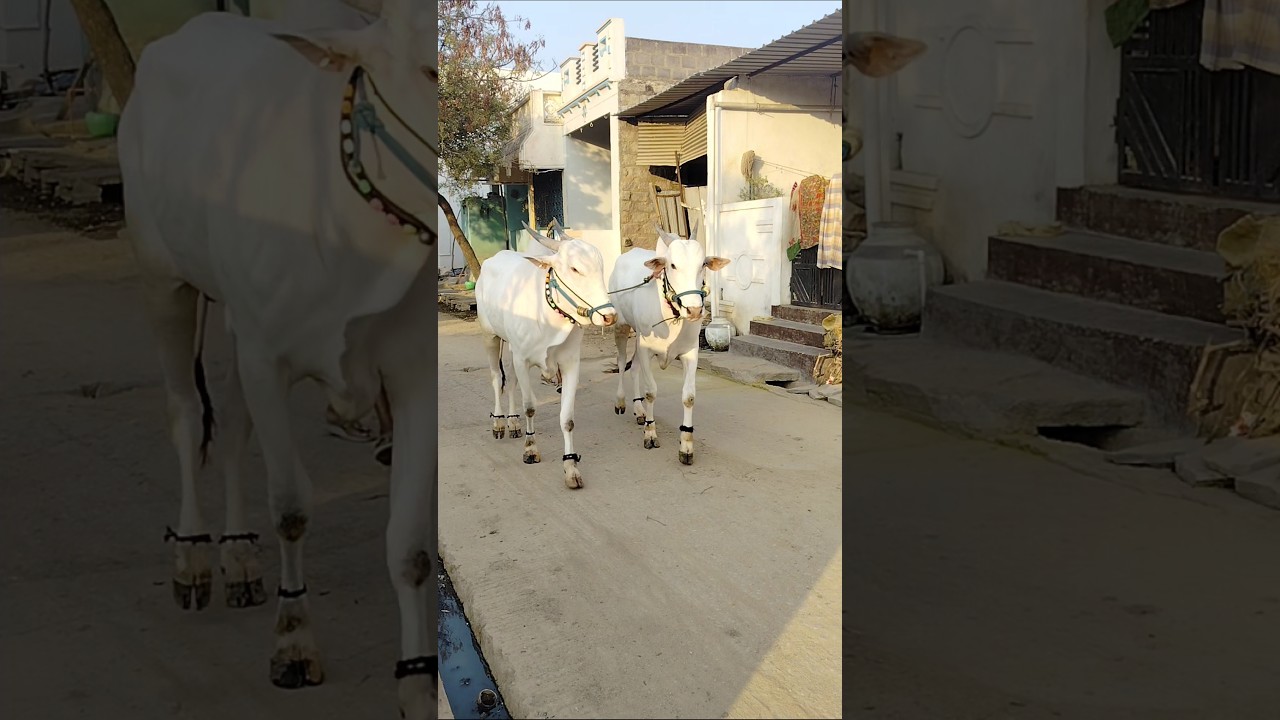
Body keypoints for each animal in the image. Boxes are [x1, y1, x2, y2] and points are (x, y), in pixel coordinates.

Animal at [116, 0, 438, 716]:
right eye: (428, 69)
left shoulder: (412, 378)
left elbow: (409, 547)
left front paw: (417, 679)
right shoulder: (268, 358)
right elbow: (290, 507)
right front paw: (293, 642)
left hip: (236, 319)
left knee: (234, 427)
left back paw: (238, 558)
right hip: (162, 281)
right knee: (187, 415)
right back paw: (194, 558)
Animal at [474, 222, 618, 489]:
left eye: (600, 267)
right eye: (574, 268)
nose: (609, 316)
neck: (548, 312)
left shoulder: (570, 364)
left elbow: (567, 418)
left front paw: (571, 467)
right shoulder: (523, 359)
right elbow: (530, 407)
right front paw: (530, 449)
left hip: (512, 349)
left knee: (511, 382)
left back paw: (513, 422)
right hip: (490, 337)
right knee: (497, 379)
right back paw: (499, 422)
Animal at [609, 226, 730, 465]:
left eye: (703, 264)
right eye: (673, 265)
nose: (694, 310)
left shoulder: (690, 353)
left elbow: (689, 396)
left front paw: (686, 446)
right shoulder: (646, 350)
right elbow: (651, 392)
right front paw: (650, 433)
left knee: (634, 368)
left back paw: (639, 410)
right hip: (621, 327)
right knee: (621, 362)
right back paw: (621, 401)